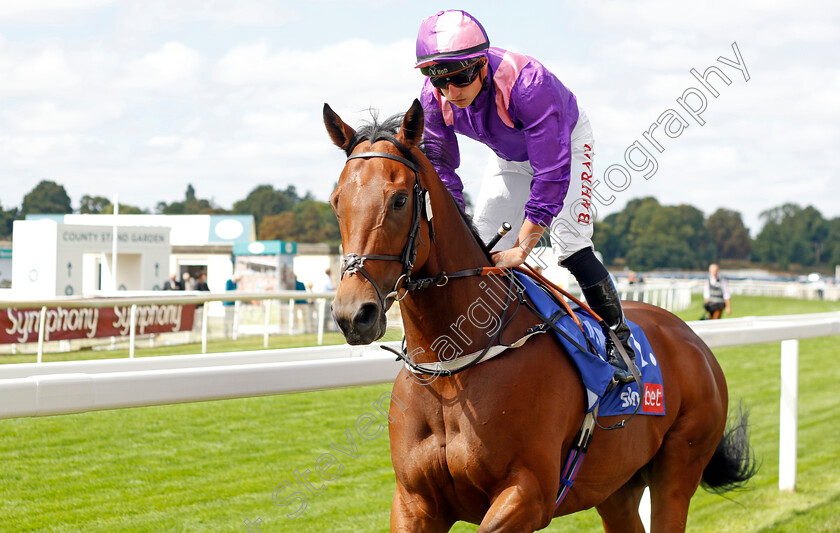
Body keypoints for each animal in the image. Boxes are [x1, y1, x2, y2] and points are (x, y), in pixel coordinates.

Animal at [324, 98, 756, 528]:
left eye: (399, 199)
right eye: (336, 201)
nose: (353, 314)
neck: (451, 368)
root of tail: (693, 339)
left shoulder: (528, 494)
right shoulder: (413, 502)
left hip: (678, 469)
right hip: (615, 487)